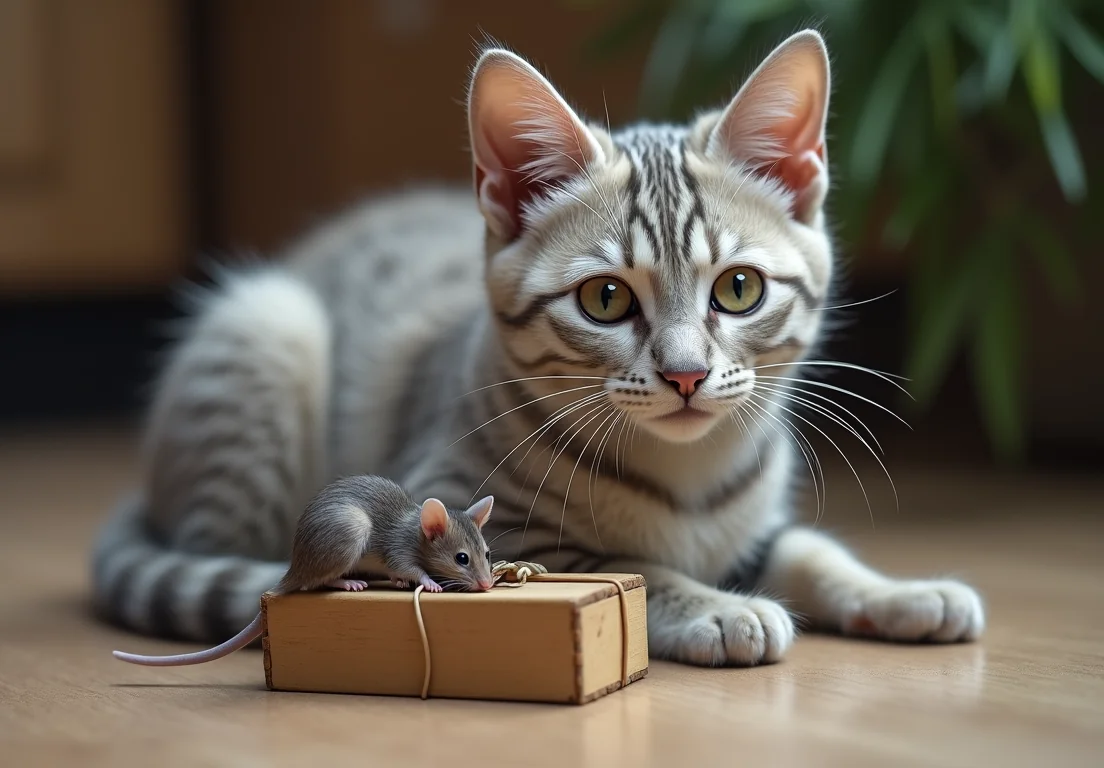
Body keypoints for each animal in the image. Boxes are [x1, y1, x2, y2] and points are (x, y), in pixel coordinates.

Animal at [88, 31, 984, 666]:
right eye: (606, 299)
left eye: (738, 289)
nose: (687, 374)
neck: (688, 481)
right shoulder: (466, 511)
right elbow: (630, 566)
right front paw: (718, 605)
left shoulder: (760, 520)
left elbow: (810, 550)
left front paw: (902, 592)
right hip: (268, 329)